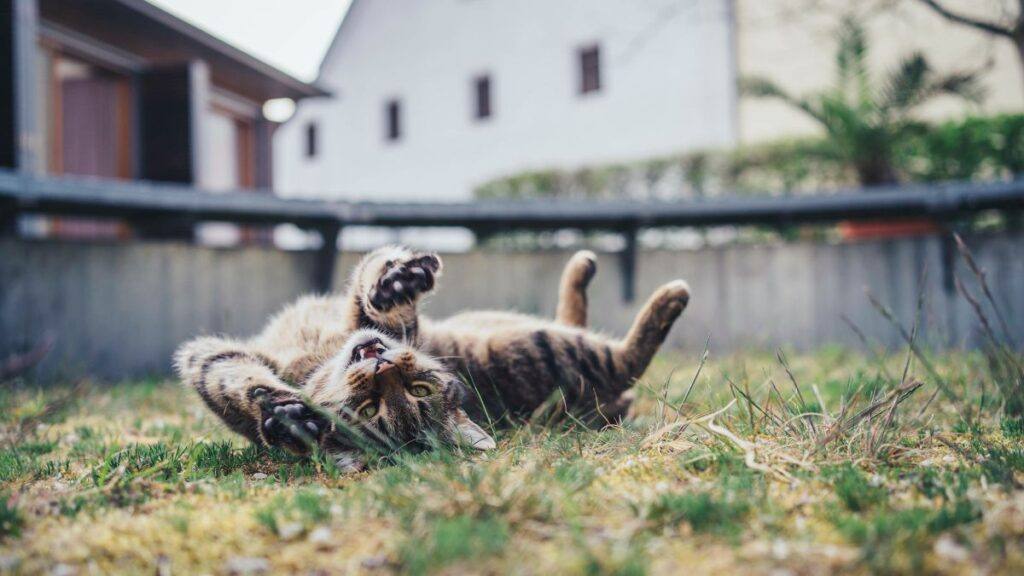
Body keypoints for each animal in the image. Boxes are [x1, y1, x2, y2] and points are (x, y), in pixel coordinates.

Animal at [174, 243, 688, 469]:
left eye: (418, 389)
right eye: (369, 410)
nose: (381, 365)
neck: (322, 355)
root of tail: (605, 405)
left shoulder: (390, 327)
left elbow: (374, 300)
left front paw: (393, 281)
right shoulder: (213, 359)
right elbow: (237, 381)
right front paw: (283, 415)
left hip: (543, 344)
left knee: (624, 359)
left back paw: (665, 293)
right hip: (540, 341)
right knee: (611, 349)